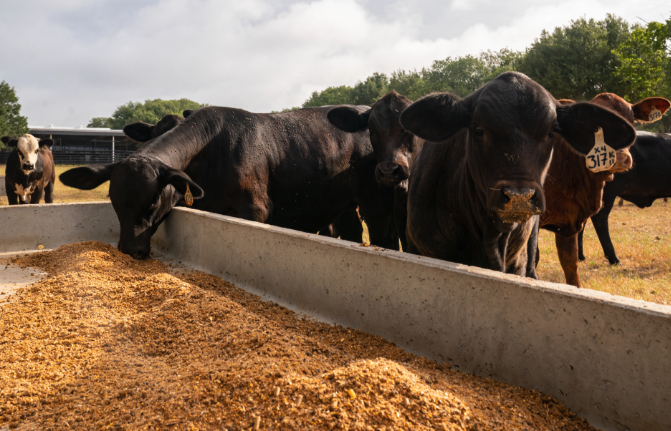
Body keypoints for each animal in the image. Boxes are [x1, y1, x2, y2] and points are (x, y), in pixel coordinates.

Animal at [60, 106, 396, 258]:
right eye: (113, 200)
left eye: (153, 200)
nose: (130, 249)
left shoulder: (256, 210)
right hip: (343, 206)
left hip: (378, 203)